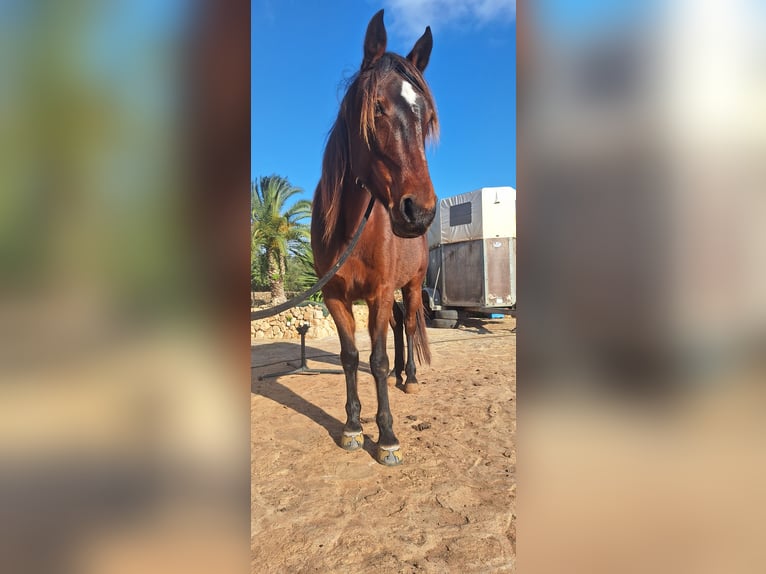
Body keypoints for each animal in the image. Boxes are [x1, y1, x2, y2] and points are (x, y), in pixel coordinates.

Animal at [310, 9, 439, 466]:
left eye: (426, 118)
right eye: (377, 107)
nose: (419, 211)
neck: (351, 230)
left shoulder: (380, 292)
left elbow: (377, 360)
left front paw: (386, 437)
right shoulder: (335, 295)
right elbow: (351, 357)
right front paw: (351, 426)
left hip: (411, 286)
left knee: (411, 323)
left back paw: (410, 377)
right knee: (402, 325)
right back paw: (403, 373)